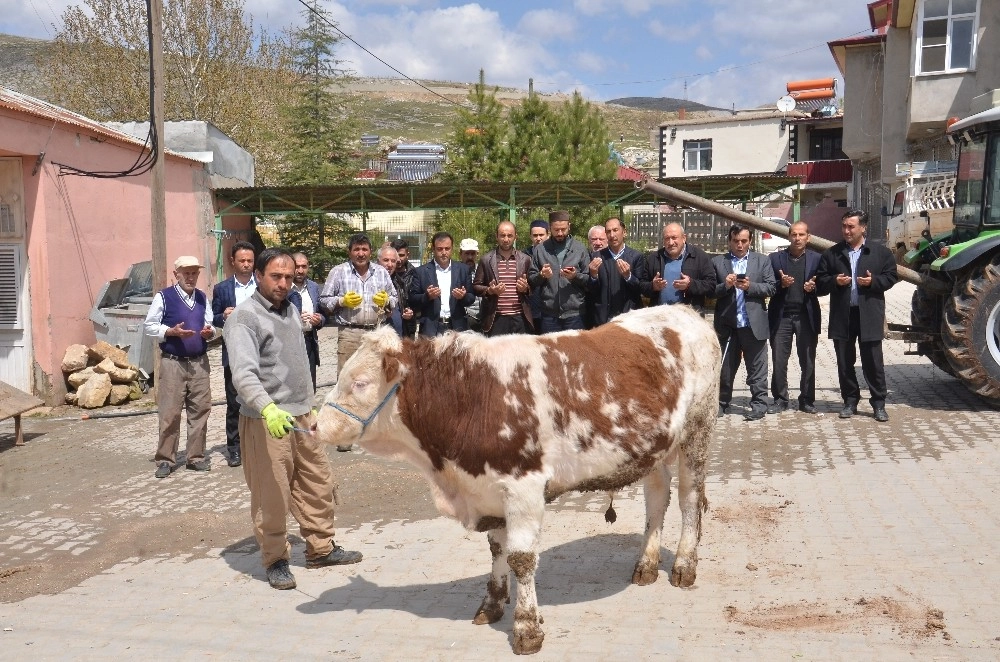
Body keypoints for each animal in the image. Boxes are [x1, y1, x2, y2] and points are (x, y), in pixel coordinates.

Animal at [316, 306, 716, 660]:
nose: (315, 425)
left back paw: (684, 565)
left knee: (689, 499)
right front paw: (492, 604)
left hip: (697, 431)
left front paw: (526, 628)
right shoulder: (489, 490)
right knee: (657, 497)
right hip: (653, 447)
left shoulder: (524, 487)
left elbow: (521, 559)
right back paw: (646, 564)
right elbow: (497, 550)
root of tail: (687, 312)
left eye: (360, 383)